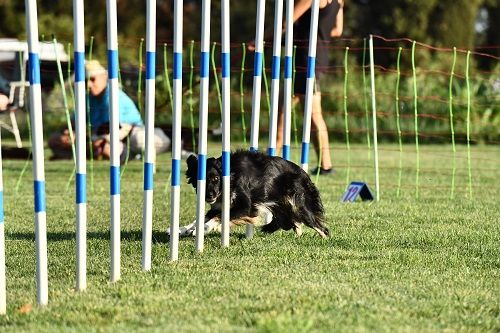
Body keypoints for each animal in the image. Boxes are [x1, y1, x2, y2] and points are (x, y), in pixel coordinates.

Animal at [178, 149, 330, 237]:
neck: (232, 175)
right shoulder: (218, 206)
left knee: (320, 228)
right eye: (199, 180)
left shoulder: (246, 207)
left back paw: (324, 238)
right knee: (295, 223)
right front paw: (183, 229)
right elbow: (201, 218)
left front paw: (204, 229)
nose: (209, 196)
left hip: (299, 204)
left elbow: (218, 217)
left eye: (216, 179)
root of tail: (304, 174)